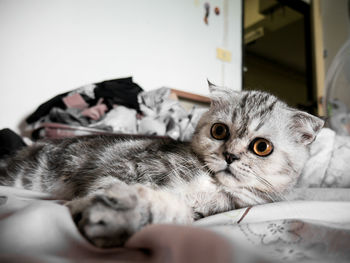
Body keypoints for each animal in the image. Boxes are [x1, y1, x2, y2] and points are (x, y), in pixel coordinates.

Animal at [0, 83, 324, 249]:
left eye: (261, 147)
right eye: (219, 131)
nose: (230, 155)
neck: (212, 184)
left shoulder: (202, 211)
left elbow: (175, 214)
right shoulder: (128, 167)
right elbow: (109, 186)